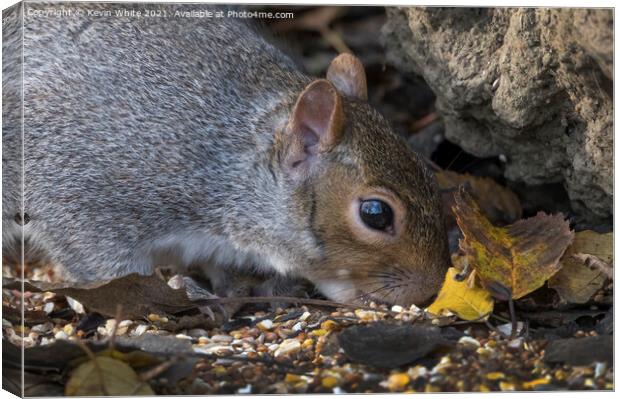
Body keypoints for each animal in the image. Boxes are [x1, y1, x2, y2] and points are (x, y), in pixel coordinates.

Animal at [2, 3, 448, 306]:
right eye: (376, 214)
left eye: (430, 174)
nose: (431, 287)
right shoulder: (83, 179)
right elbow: (98, 256)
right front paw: (174, 289)